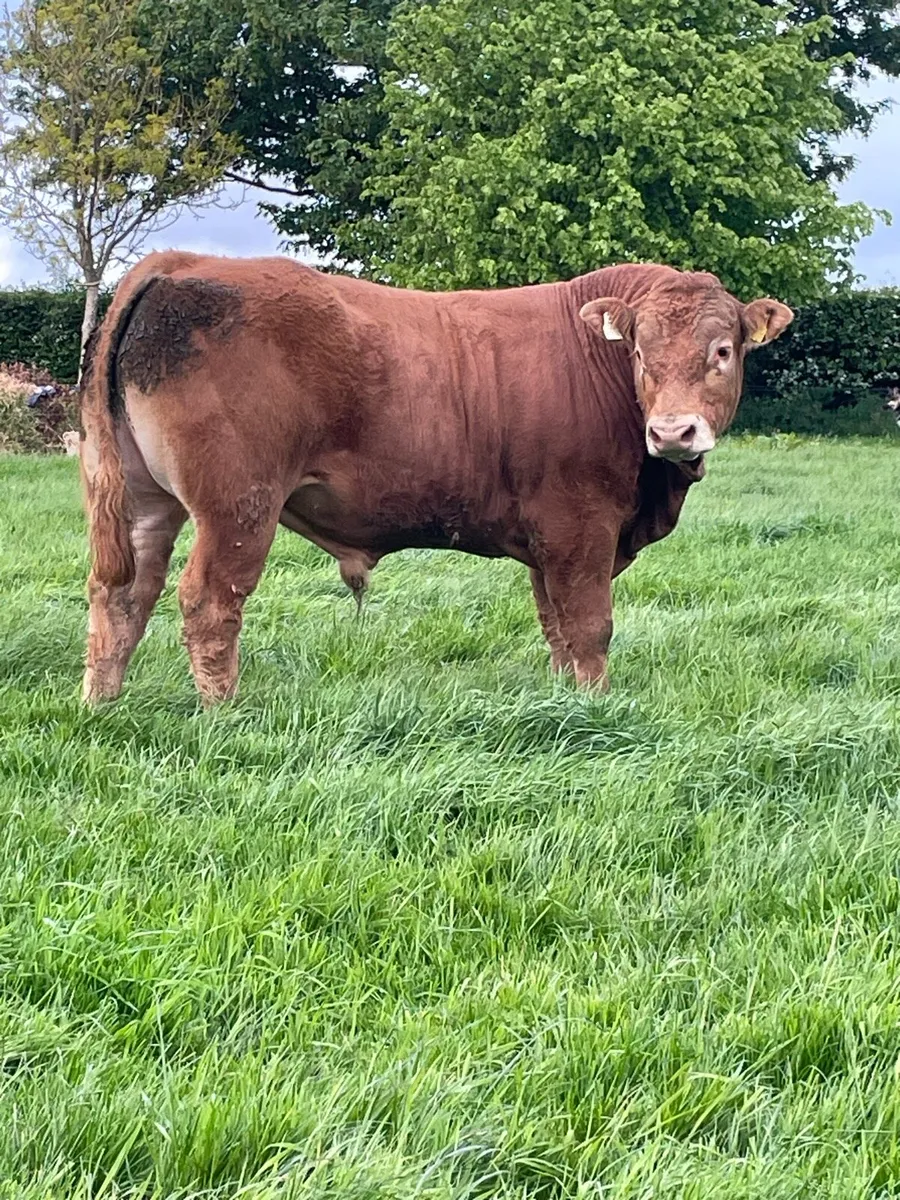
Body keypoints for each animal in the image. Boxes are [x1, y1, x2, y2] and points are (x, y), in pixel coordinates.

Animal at [79, 252, 792, 706]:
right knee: (208, 602)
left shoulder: (548, 543)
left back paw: (101, 703)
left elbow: (557, 628)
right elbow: (590, 626)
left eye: (722, 350)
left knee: (123, 594)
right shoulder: (580, 527)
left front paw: (568, 702)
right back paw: (223, 713)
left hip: (144, 500)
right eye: (641, 352)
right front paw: (599, 705)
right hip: (238, 506)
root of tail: (180, 261)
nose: (673, 432)